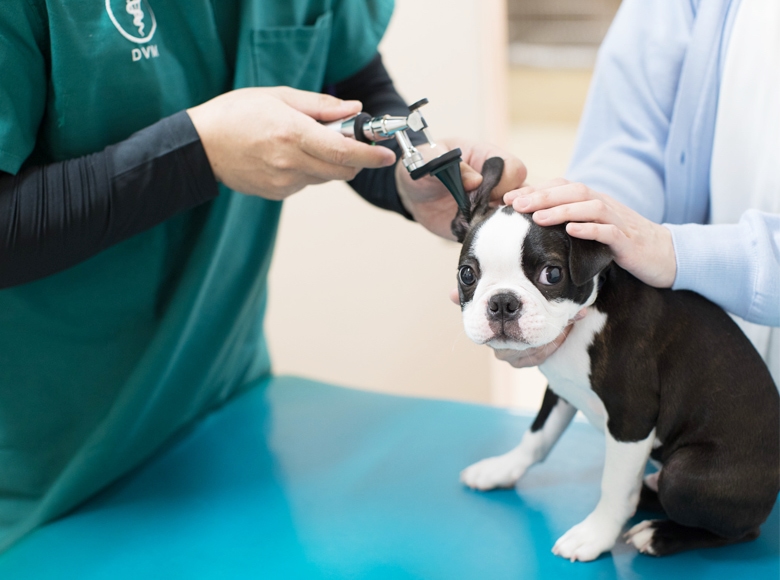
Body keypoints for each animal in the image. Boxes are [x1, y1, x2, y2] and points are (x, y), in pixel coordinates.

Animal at [454, 159, 776, 560]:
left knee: (739, 529)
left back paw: (658, 533)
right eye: (467, 274)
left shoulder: (631, 418)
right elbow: (537, 436)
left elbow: (615, 485)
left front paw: (595, 534)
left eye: (552, 274)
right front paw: (502, 469)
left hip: (687, 474)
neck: (587, 314)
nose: (502, 302)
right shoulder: (560, 389)